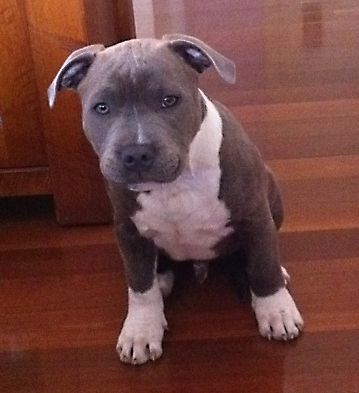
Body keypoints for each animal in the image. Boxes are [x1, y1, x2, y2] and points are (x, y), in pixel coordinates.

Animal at [49, 33, 306, 364]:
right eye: (102, 107)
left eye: (169, 100)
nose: (136, 153)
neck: (175, 183)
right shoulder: (128, 232)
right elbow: (139, 286)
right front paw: (141, 330)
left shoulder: (255, 216)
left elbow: (264, 267)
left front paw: (276, 311)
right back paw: (162, 279)